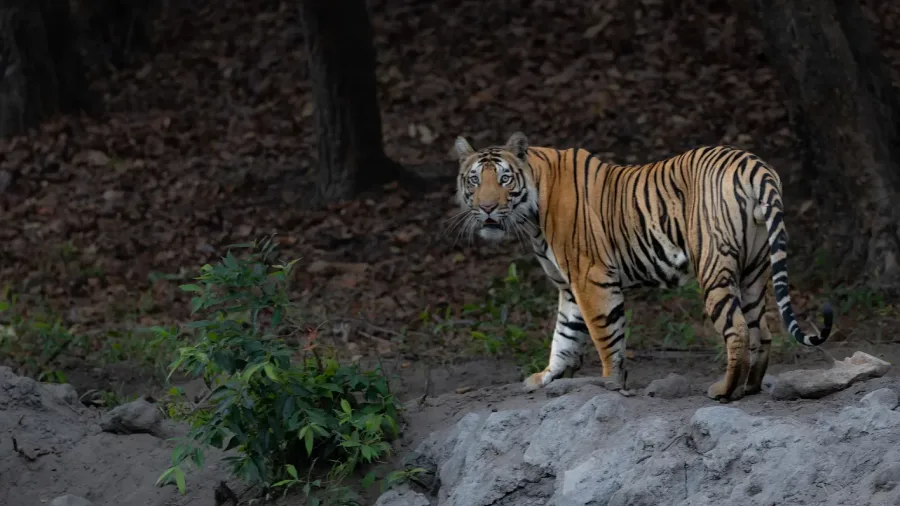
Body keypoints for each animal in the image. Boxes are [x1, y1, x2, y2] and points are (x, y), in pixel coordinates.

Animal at [452, 132, 833, 402]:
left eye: (504, 179)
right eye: (474, 180)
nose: (487, 208)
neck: (532, 214)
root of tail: (754, 165)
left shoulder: (591, 279)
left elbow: (606, 337)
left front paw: (610, 383)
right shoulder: (569, 288)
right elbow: (564, 336)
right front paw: (547, 376)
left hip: (714, 266)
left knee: (737, 329)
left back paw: (723, 391)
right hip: (754, 269)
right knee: (762, 331)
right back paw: (750, 387)